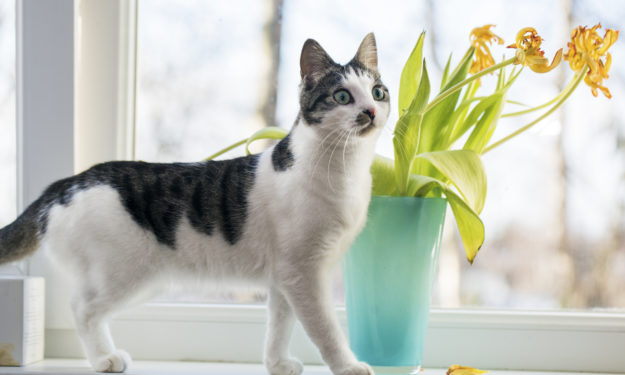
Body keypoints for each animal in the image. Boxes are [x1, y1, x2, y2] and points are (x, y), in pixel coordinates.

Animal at [0, 33, 388, 375]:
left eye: (378, 92)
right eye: (342, 96)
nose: (370, 111)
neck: (346, 171)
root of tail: (65, 183)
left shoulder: (285, 278)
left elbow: (279, 326)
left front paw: (277, 364)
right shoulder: (305, 274)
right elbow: (325, 329)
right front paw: (349, 366)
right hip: (124, 274)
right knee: (82, 308)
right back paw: (104, 359)